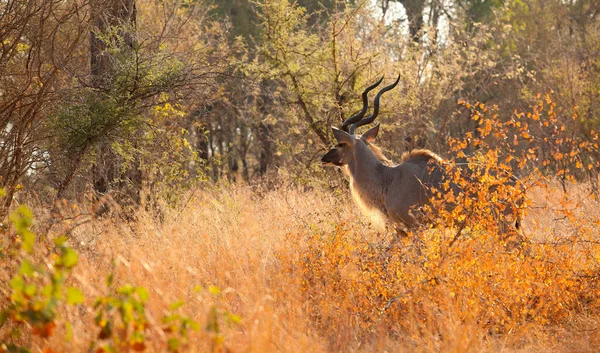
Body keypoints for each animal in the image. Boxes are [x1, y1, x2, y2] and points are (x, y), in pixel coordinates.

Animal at [322, 77, 524, 236]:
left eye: (341, 144)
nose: (324, 158)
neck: (388, 178)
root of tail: (519, 184)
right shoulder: (401, 231)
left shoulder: (415, 227)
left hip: (500, 224)